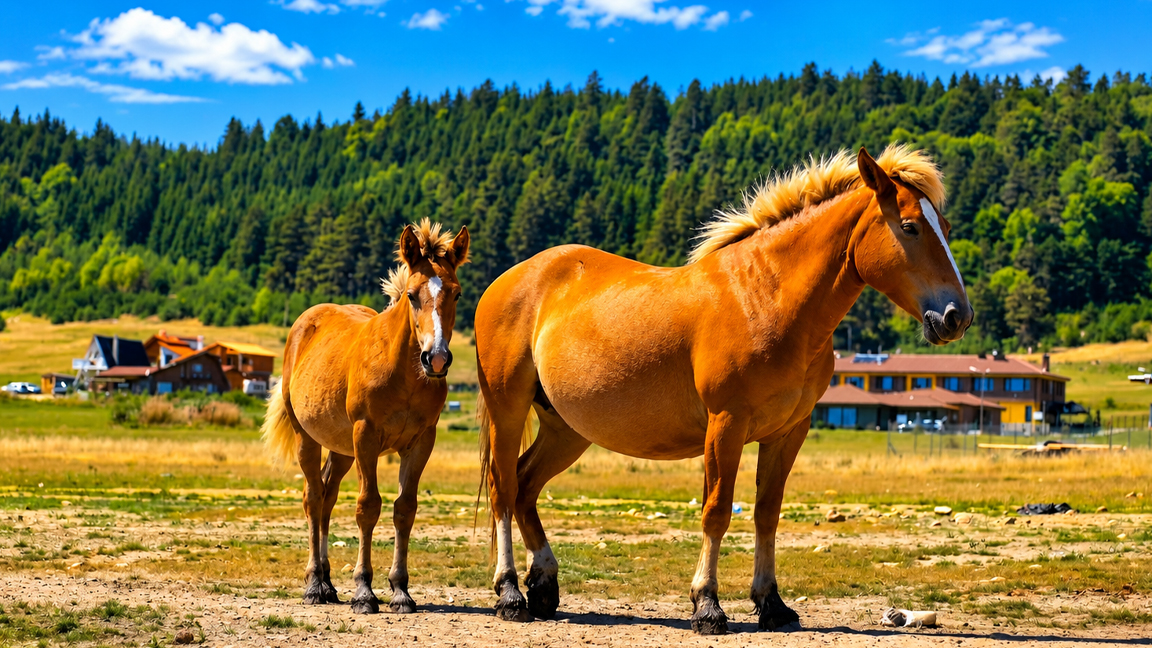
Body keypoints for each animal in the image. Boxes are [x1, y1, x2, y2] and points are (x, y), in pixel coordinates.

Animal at [261, 219, 469, 614]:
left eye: (456, 294)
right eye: (412, 295)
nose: (436, 359)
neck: (402, 373)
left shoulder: (422, 441)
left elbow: (405, 508)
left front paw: (401, 591)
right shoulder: (366, 436)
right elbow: (367, 506)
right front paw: (364, 591)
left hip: (341, 448)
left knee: (327, 497)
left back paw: (328, 584)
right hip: (308, 437)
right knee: (313, 497)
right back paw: (314, 584)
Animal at [473, 145, 972, 634]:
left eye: (945, 228)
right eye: (909, 226)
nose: (956, 316)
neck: (766, 299)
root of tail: (509, 279)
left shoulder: (788, 432)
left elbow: (767, 512)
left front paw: (772, 603)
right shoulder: (726, 425)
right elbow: (717, 510)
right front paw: (707, 605)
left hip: (567, 429)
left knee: (526, 486)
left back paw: (543, 586)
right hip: (508, 408)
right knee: (503, 487)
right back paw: (511, 593)